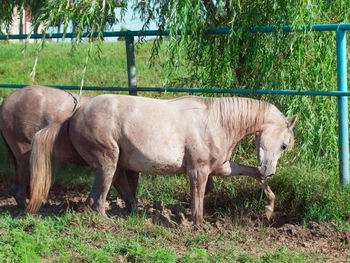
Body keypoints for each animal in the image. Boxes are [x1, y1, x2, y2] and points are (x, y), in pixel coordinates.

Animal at [27, 94, 296, 225]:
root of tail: (73, 116)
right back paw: (110, 222)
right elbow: (197, 202)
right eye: (284, 144)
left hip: (115, 163)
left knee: (116, 190)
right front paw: (197, 226)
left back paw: (133, 214)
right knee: (96, 200)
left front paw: (269, 208)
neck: (217, 122)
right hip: (106, 161)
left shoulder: (220, 168)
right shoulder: (198, 172)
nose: (270, 171)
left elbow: (250, 173)